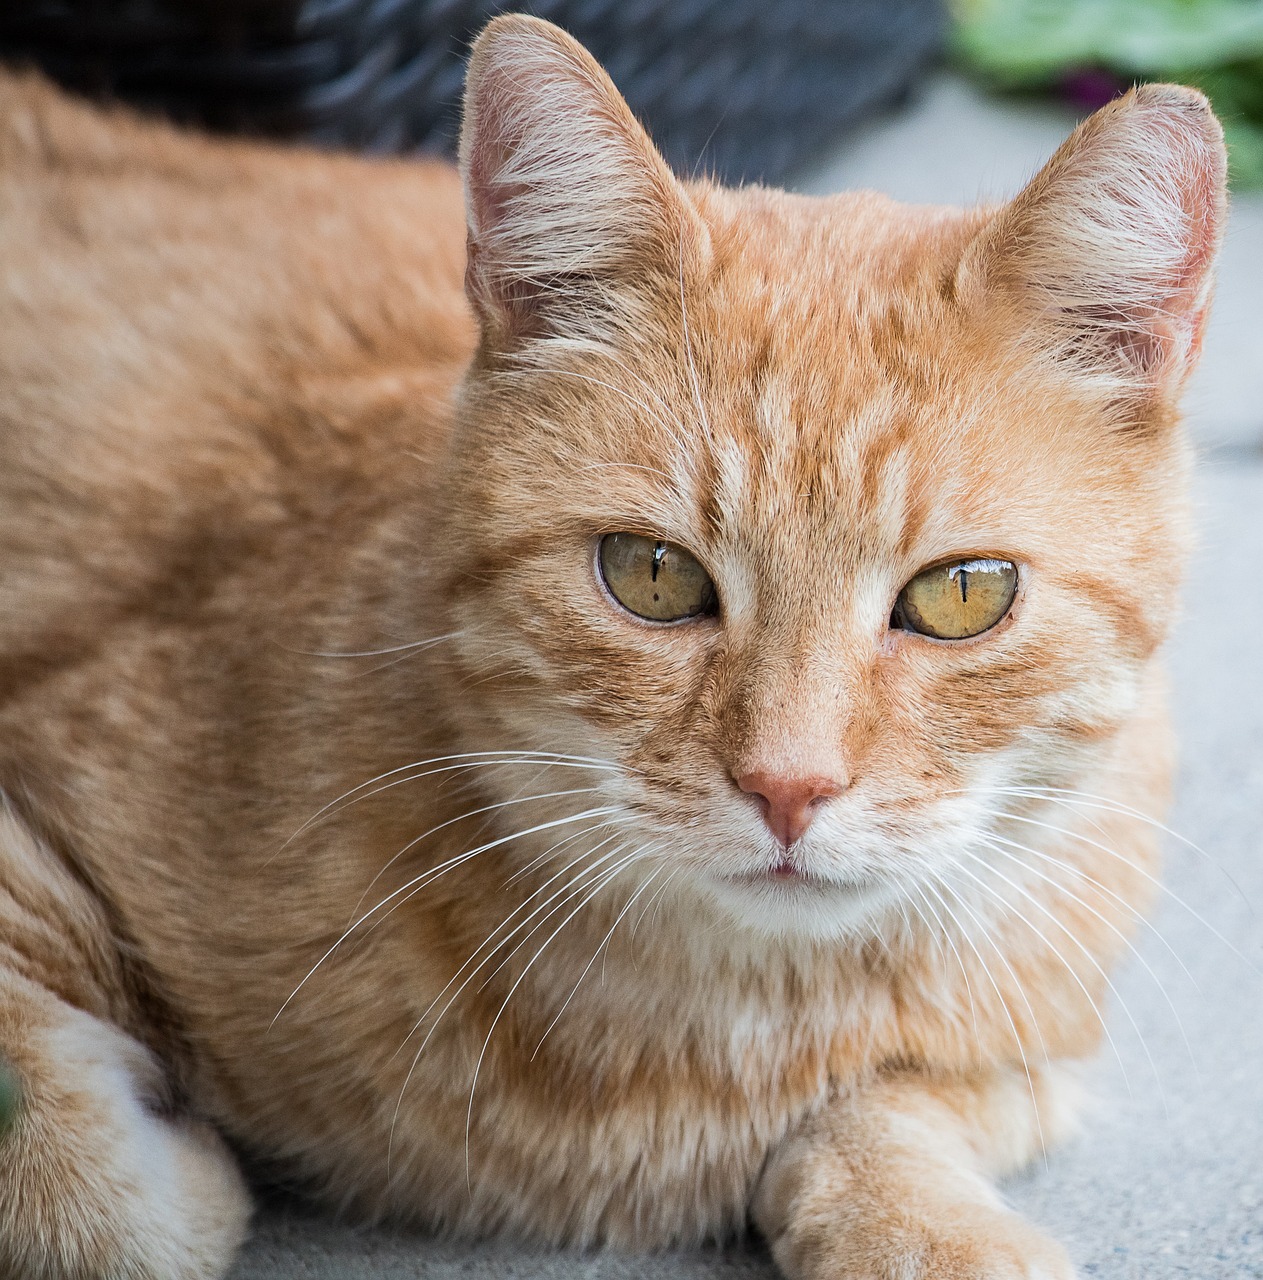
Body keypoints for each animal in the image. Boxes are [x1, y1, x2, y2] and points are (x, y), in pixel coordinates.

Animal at [0, 12, 1228, 1280]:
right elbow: (82, 1184)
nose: (789, 787)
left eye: (961, 596)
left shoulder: (1040, 1032)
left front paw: (924, 1225)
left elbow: (889, 1103)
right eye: (653, 575)